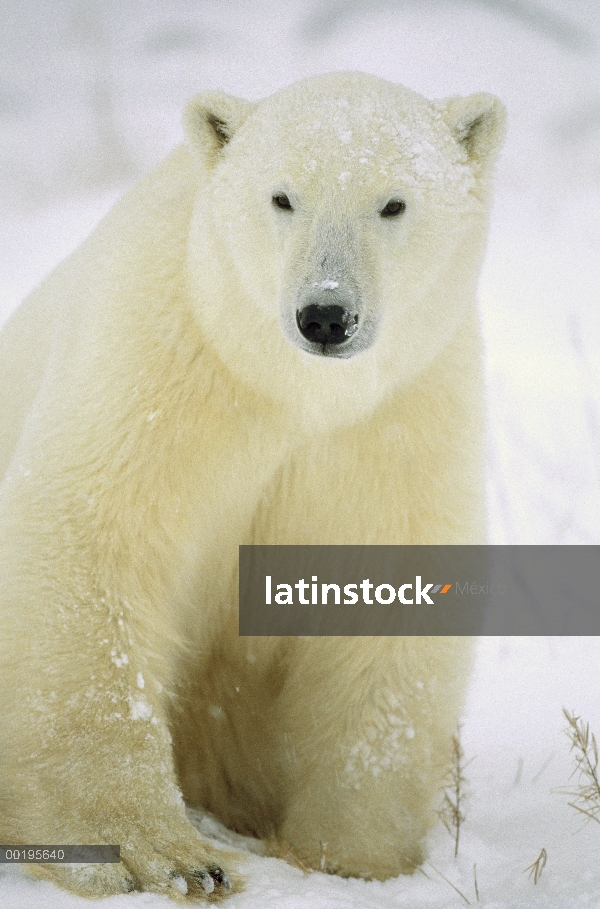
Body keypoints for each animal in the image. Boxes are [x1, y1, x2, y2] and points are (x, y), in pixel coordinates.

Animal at [0, 72, 504, 900]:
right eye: (282, 197)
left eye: (393, 203)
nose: (326, 314)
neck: (287, 387)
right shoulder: (158, 367)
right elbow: (91, 540)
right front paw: (164, 853)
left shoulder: (398, 417)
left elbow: (388, 592)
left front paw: (353, 854)